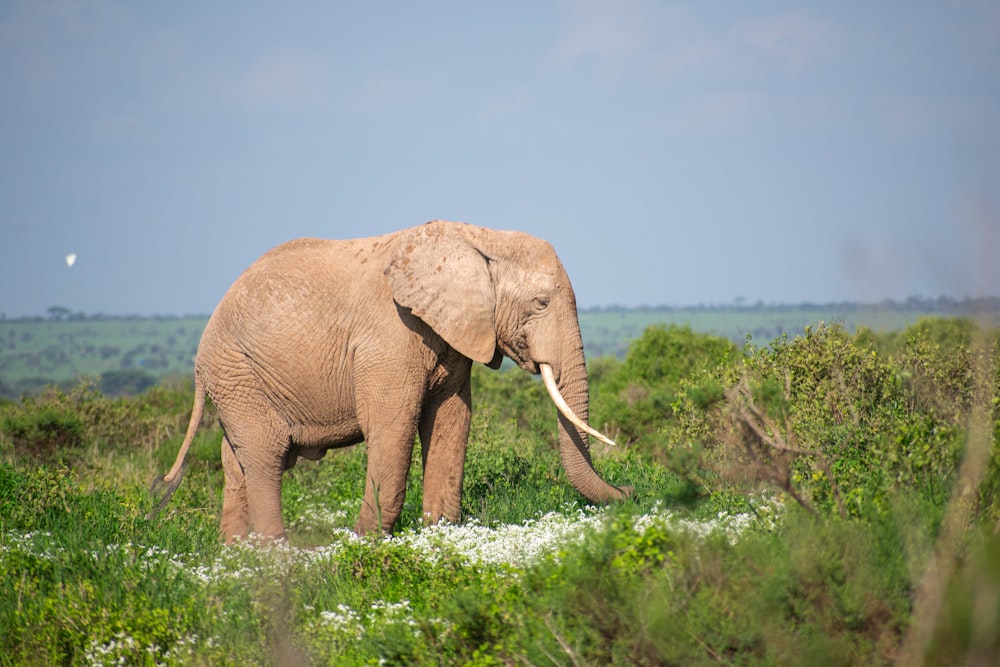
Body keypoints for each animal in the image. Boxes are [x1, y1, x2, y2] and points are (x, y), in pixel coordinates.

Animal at [151, 220, 628, 544]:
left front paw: (442, 536)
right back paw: (274, 557)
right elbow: (393, 426)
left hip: (239, 377)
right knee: (265, 453)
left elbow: (451, 421)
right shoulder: (390, 334)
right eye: (541, 302)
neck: (478, 236)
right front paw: (364, 544)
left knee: (237, 459)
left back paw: (236, 553)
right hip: (235, 369)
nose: (627, 489)